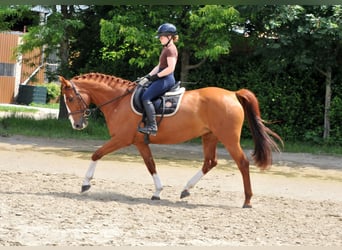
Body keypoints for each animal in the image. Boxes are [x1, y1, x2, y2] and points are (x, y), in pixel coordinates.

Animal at [60, 73, 282, 209]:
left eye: (70, 99)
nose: (77, 125)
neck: (118, 101)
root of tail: (233, 94)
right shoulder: (141, 143)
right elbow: (151, 165)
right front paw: (158, 192)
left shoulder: (121, 139)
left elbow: (96, 153)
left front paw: (85, 183)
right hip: (209, 136)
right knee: (210, 162)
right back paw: (186, 189)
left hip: (228, 138)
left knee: (242, 163)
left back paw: (247, 200)